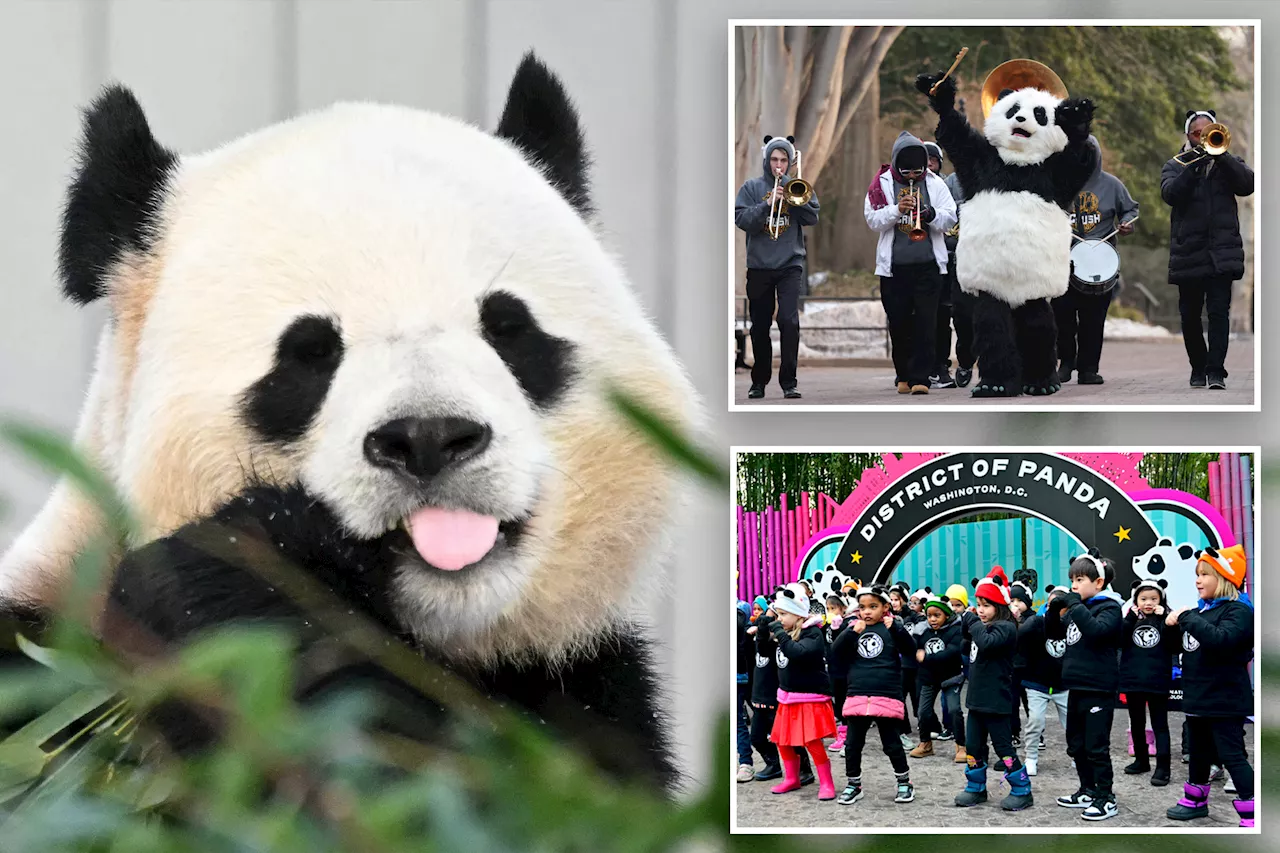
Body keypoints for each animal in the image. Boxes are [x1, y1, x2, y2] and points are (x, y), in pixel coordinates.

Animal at [911, 69, 1100, 394]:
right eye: (1014, 109)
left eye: (1040, 114)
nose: (1021, 121)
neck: (1018, 162)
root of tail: (1014, 295)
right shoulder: (983, 162)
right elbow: (956, 136)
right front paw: (941, 94)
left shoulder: (1053, 175)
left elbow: (1076, 161)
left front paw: (1076, 120)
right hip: (990, 284)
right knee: (992, 323)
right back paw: (996, 385)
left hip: (1034, 287)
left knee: (1038, 324)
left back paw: (1040, 384)